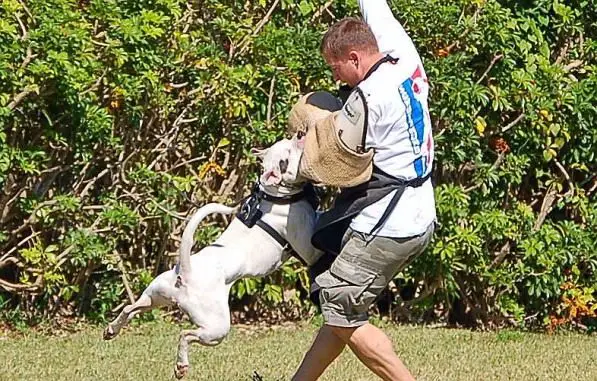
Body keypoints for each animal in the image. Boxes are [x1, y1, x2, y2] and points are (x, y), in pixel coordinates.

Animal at [103, 134, 316, 378]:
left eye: (287, 140)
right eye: (287, 154)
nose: (299, 134)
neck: (273, 195)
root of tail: (185, 273)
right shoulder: (307, 246)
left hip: (156, 296)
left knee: (131, 308)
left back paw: (112, 329)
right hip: (217, 327)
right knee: (185, 334)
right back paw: (181, 366)